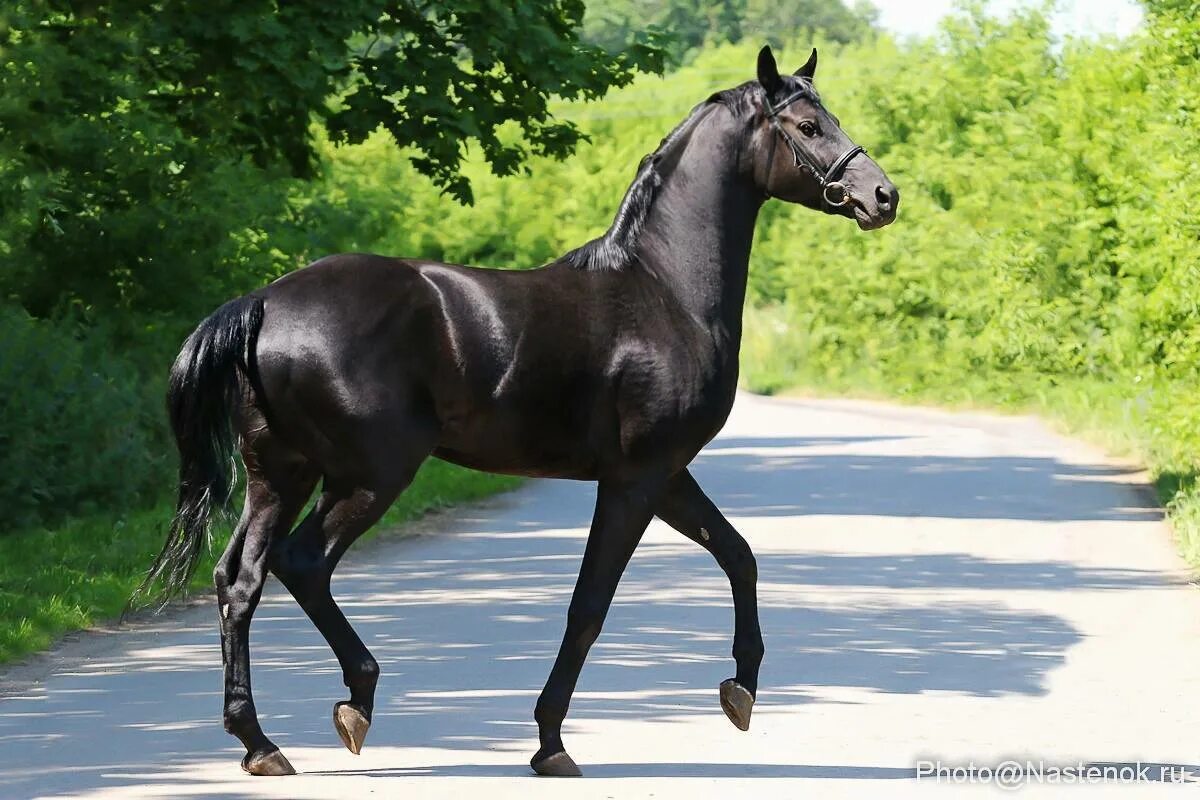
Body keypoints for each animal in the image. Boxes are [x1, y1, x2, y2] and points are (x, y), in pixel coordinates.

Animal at [147, 47, 902, 777]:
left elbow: (739, 556)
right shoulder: (634, 480)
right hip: (368, 476)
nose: (882, 196)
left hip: (280, 475)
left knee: (239, 581)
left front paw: (740, 691)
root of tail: (264, 302)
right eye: (807, 126)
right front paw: (550, 742)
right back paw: (354, 702)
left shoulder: (668, 476)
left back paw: (259, 743)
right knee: (302, 565)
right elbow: (589, 606)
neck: (665, 290)